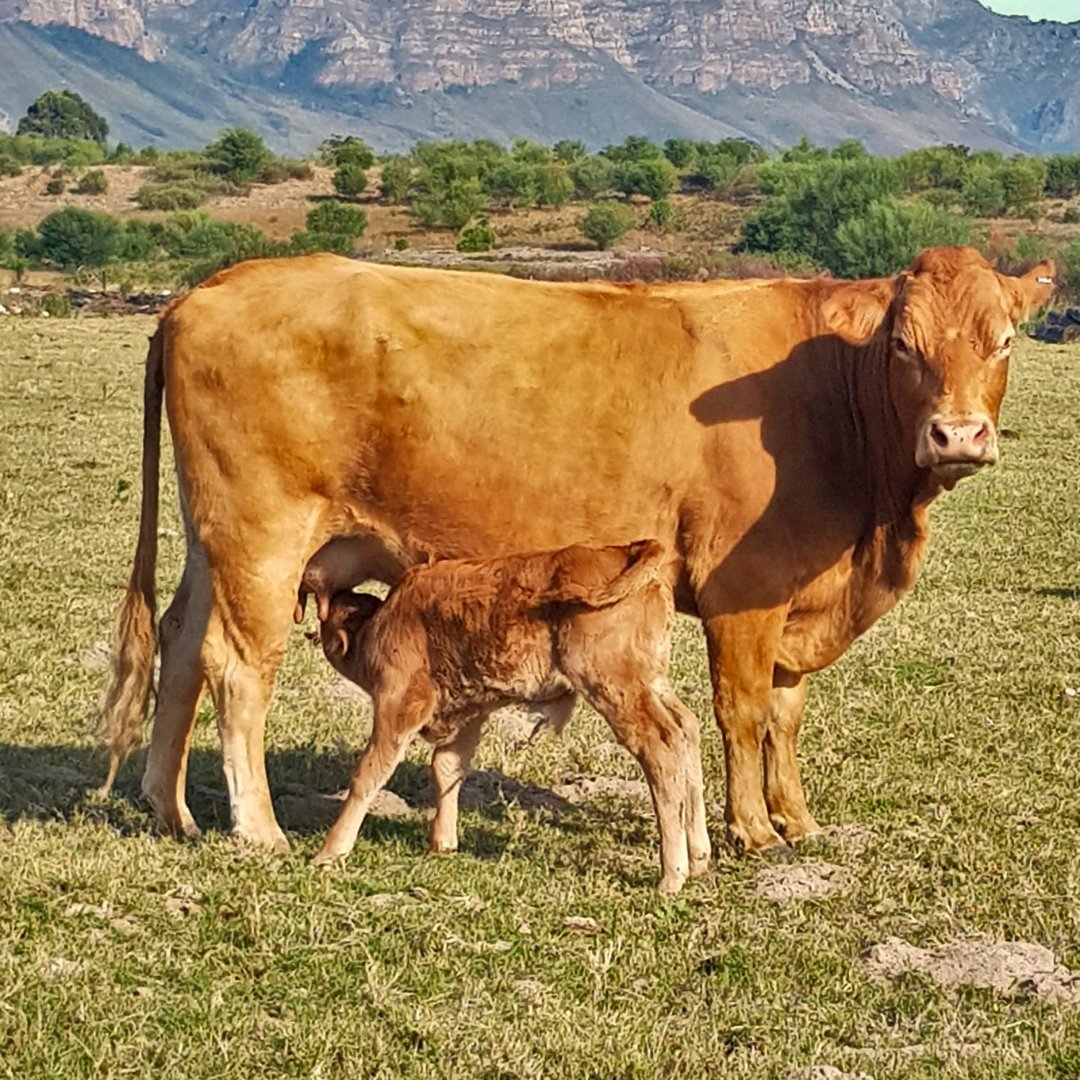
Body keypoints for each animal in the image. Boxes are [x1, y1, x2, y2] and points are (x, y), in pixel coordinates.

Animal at [310, 539, 706, 894]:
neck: (381, 621)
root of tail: (627, 550)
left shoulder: (401, 703)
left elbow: (370, 772)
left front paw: (329, 852)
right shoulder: (468, 714)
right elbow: (447, 769)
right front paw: (442, 844)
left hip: (615, 690)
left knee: (660, 749)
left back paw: (671, 876)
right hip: (652, 683)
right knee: (686, 729)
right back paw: (699, 856)